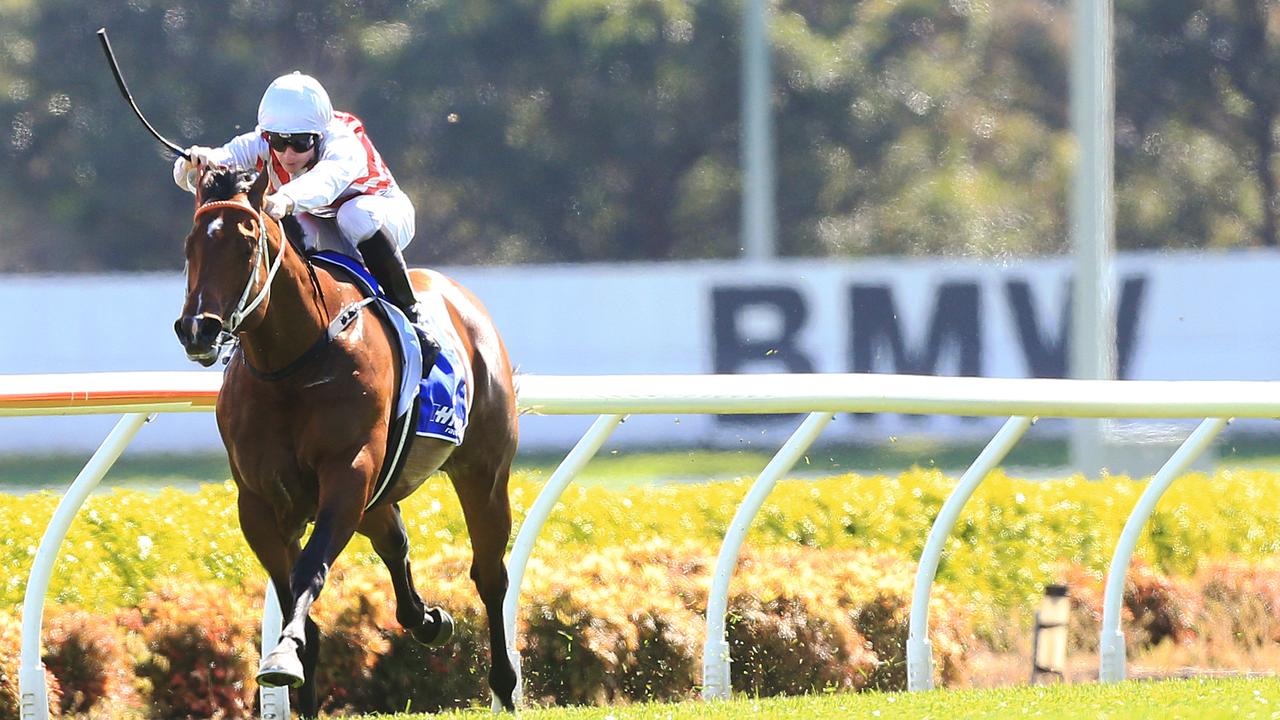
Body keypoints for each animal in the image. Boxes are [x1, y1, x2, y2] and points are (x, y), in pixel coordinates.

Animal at [172, 167, 522, 712]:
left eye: (246, 245)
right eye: (191, 245)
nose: (197, 330)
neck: (291, 365)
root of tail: (459, 294)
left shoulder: (347, 472)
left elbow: (310, 572)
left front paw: (282, 655)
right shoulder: (259, 502)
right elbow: (302, 611)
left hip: (482, 472)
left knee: (489, 574)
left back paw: (504, 686)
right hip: (380, 491)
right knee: (395, 542)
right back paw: (427, 620)